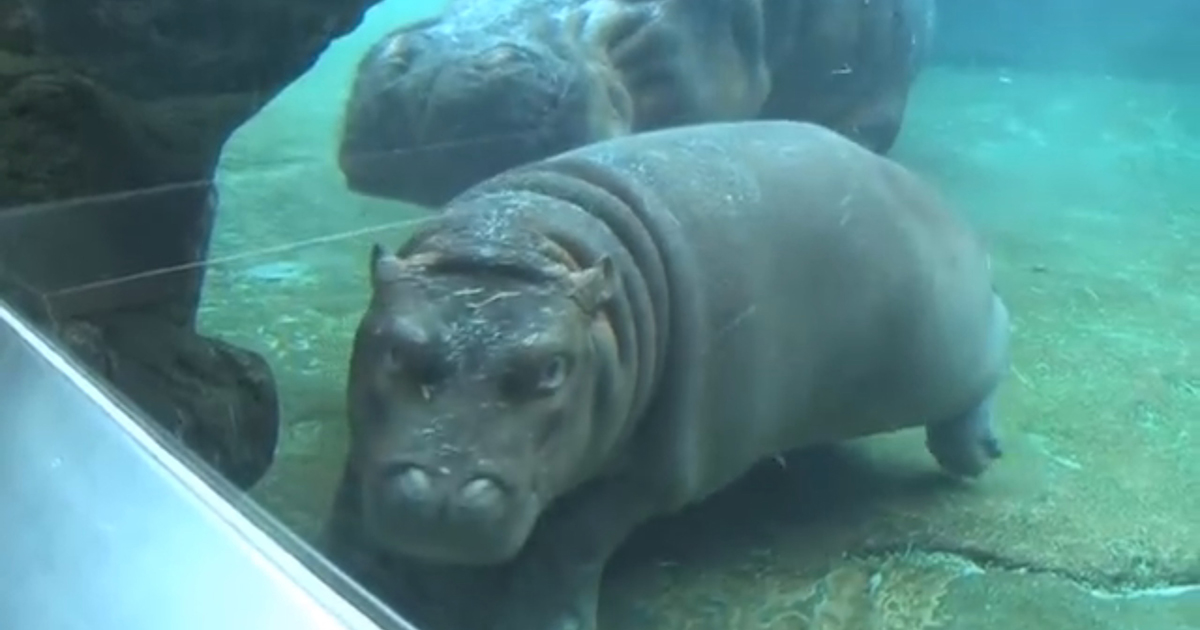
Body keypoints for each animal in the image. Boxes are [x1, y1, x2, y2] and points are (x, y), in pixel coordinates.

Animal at [321, 119, 1012, 628]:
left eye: (553, 368)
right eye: (392, 350)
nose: (437, 499)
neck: (512, 249)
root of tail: (930, 195)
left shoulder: (650, 474)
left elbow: (571, 542)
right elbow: (353, 488)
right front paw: (348, 564)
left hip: (944, 348)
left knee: (997, 343)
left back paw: (978, 452)